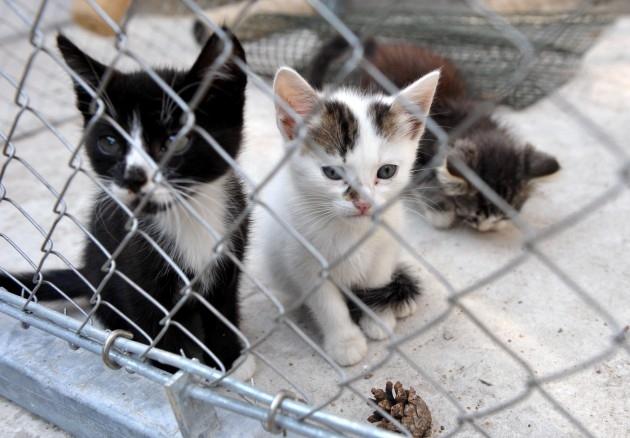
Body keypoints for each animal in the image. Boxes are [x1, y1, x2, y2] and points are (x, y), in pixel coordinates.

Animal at [1, 32, 256, 378]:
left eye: (176, 141)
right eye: (109, 142)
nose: (134, 177)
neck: (186, 215)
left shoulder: (231, 252)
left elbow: (222, 312)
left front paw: (227, 363)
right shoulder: (132, 268)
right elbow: (153, 324)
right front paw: (170, 368)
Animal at [254, 66, 442, 366]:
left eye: (386, 171)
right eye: (333, 173)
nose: (363, 204)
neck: (350, 231)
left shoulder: (385, 244)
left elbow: (376, 280)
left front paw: (379, 318)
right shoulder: (304, 260)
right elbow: (328, 305)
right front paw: (345, 342)